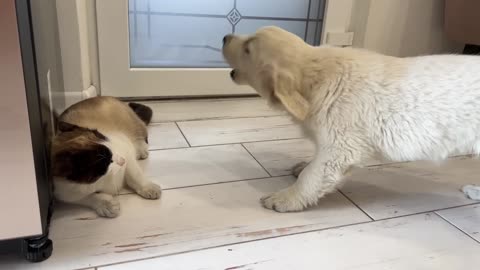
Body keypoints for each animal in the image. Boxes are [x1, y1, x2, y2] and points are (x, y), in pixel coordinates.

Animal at [223, 25, 480, 212]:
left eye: (247, 49)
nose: (225, 37)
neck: (315, 77)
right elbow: (315, 163)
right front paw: (304, 165)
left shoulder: (342, 147)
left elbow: (313, 175)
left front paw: (286, 198)